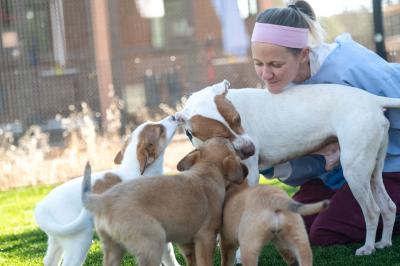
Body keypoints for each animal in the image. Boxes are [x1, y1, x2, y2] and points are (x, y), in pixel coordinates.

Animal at [35, 116, 179, 266]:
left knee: (49, 259)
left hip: (57, 239)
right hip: (79, 239)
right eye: (160, 130)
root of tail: (42, 207)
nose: (174, 116)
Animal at [82, 137, 247, 266]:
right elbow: (205, 262)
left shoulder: (186, 243)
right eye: (233, 148)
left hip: (112, 248)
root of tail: (103, 200)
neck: (207, 170)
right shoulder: (206, 237)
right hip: (152, 242)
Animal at [176, 79, 400, 256]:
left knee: (372, 210)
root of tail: (371, 99)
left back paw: (368, 247)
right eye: (220, 135)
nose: (250, 149)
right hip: (372, 169)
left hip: (355, 170)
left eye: (238, 119)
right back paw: (384, 242)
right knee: (388, 206)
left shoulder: (249, 177)